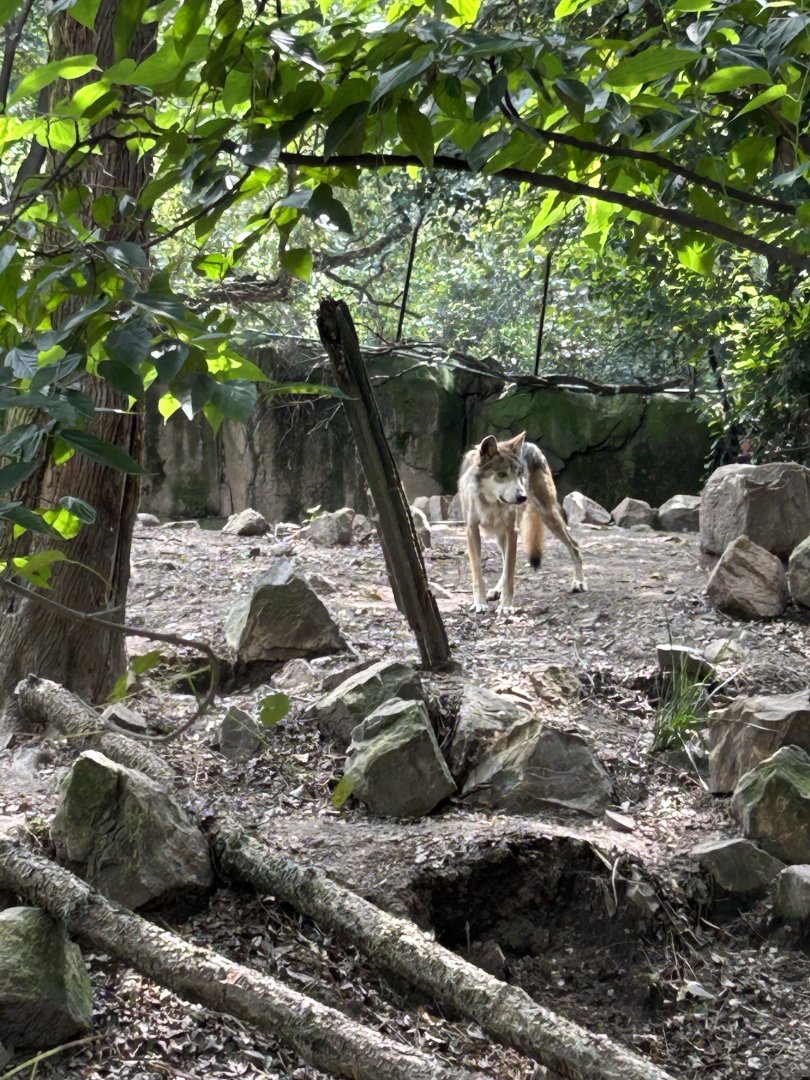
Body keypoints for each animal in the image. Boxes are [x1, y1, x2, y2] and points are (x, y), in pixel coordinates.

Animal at [458, 431, 586, 613]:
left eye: (519, 474)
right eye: (502, 474)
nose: (522, 497)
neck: (490, 502)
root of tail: (531, 445)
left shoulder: (512, 531)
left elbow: (509, 575)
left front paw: (505, 606)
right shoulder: (471, 529)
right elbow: (478, 573)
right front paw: (480, 603)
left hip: (548, 515)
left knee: (574, 545)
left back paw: (579, 582)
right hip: (501, 534)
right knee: (506, 562)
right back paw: (495, 591)